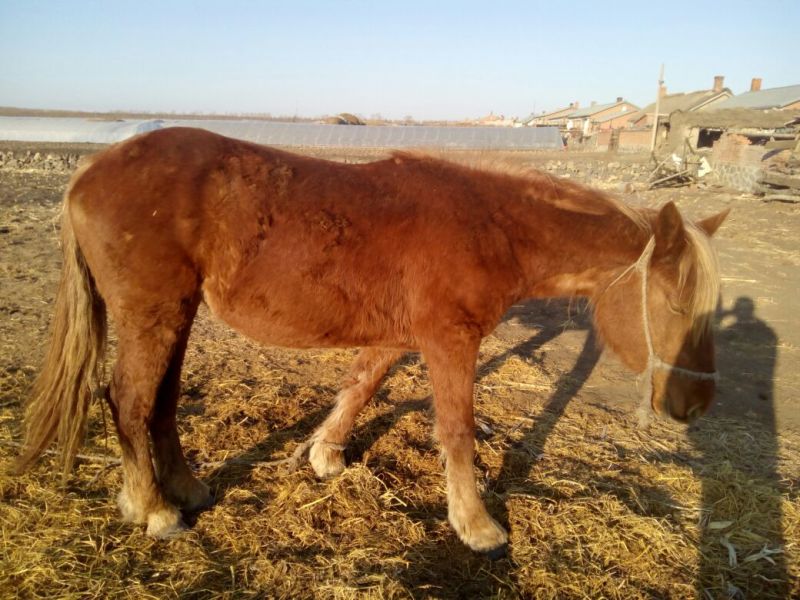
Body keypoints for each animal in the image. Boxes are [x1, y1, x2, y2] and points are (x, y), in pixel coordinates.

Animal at [16, 127, 727, 556]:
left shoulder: (399, 336)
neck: (488, 225)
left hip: (177, 313)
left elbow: (361, 386)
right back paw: (153, 510)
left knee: (159, 404)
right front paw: (477, 526)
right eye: (675, 304)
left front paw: (325, 456)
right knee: (129, 401)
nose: (694, 407)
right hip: (154, 312)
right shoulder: (449, 341)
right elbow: (457, 431)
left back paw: (186, 491)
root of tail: (88, 172)